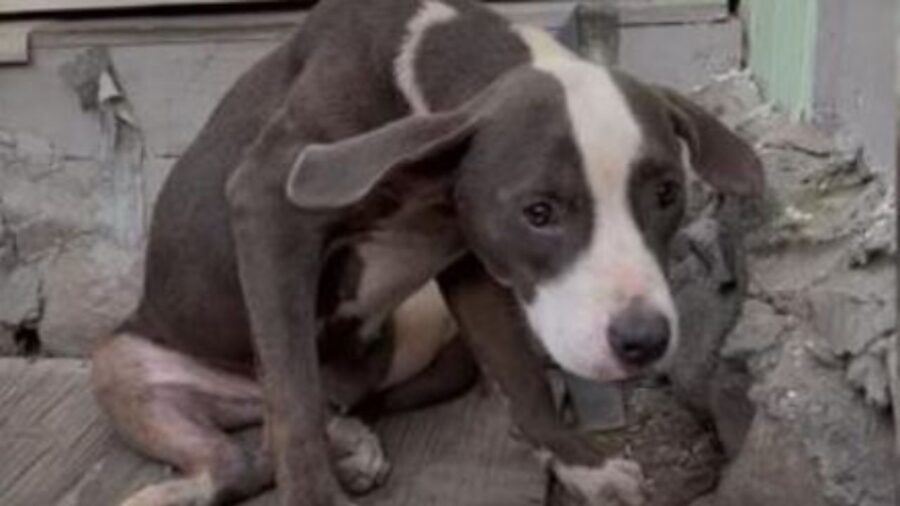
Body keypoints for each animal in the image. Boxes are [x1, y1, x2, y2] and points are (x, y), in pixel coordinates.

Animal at [89, 0, 760, 506]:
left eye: (667, 193)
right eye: (538, 212)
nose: (643, 341)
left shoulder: (471, 258)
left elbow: (521, 374)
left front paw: (582, 468)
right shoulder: (267, 206)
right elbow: (291, 406)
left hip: (417, 334)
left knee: (319, 413)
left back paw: (351, 440)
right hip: (123, 364)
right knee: (248, 446)